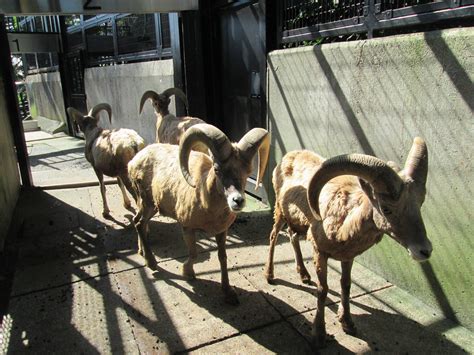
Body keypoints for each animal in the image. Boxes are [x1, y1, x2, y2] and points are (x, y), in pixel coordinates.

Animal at [129, 124, 270, 304]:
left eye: (248, 170)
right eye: (216, 169)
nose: (237, 201)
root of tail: (135, 160)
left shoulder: (221, 231)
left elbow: (222, 257)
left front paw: (228, 293)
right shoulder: (188, 228)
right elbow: (194, 253)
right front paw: (188, 273)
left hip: (150, 206)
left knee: (138, 222)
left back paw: (143, 253)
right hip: (148, 203)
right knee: (139, 223)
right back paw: (152, 263)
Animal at [264, 138, 432, 348]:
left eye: (419, 204)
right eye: (386, 208)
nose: (424, 251)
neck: (346, 219)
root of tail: (286, 157)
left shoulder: (348, 257)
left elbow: (346, 285)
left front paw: (348, 323)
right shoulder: (320, 252)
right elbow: (323, 290)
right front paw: (319, 335)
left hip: (298, 222)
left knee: (292, 236)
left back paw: (304, 275)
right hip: (280, 210)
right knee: (274, 236)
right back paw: (270, 275)